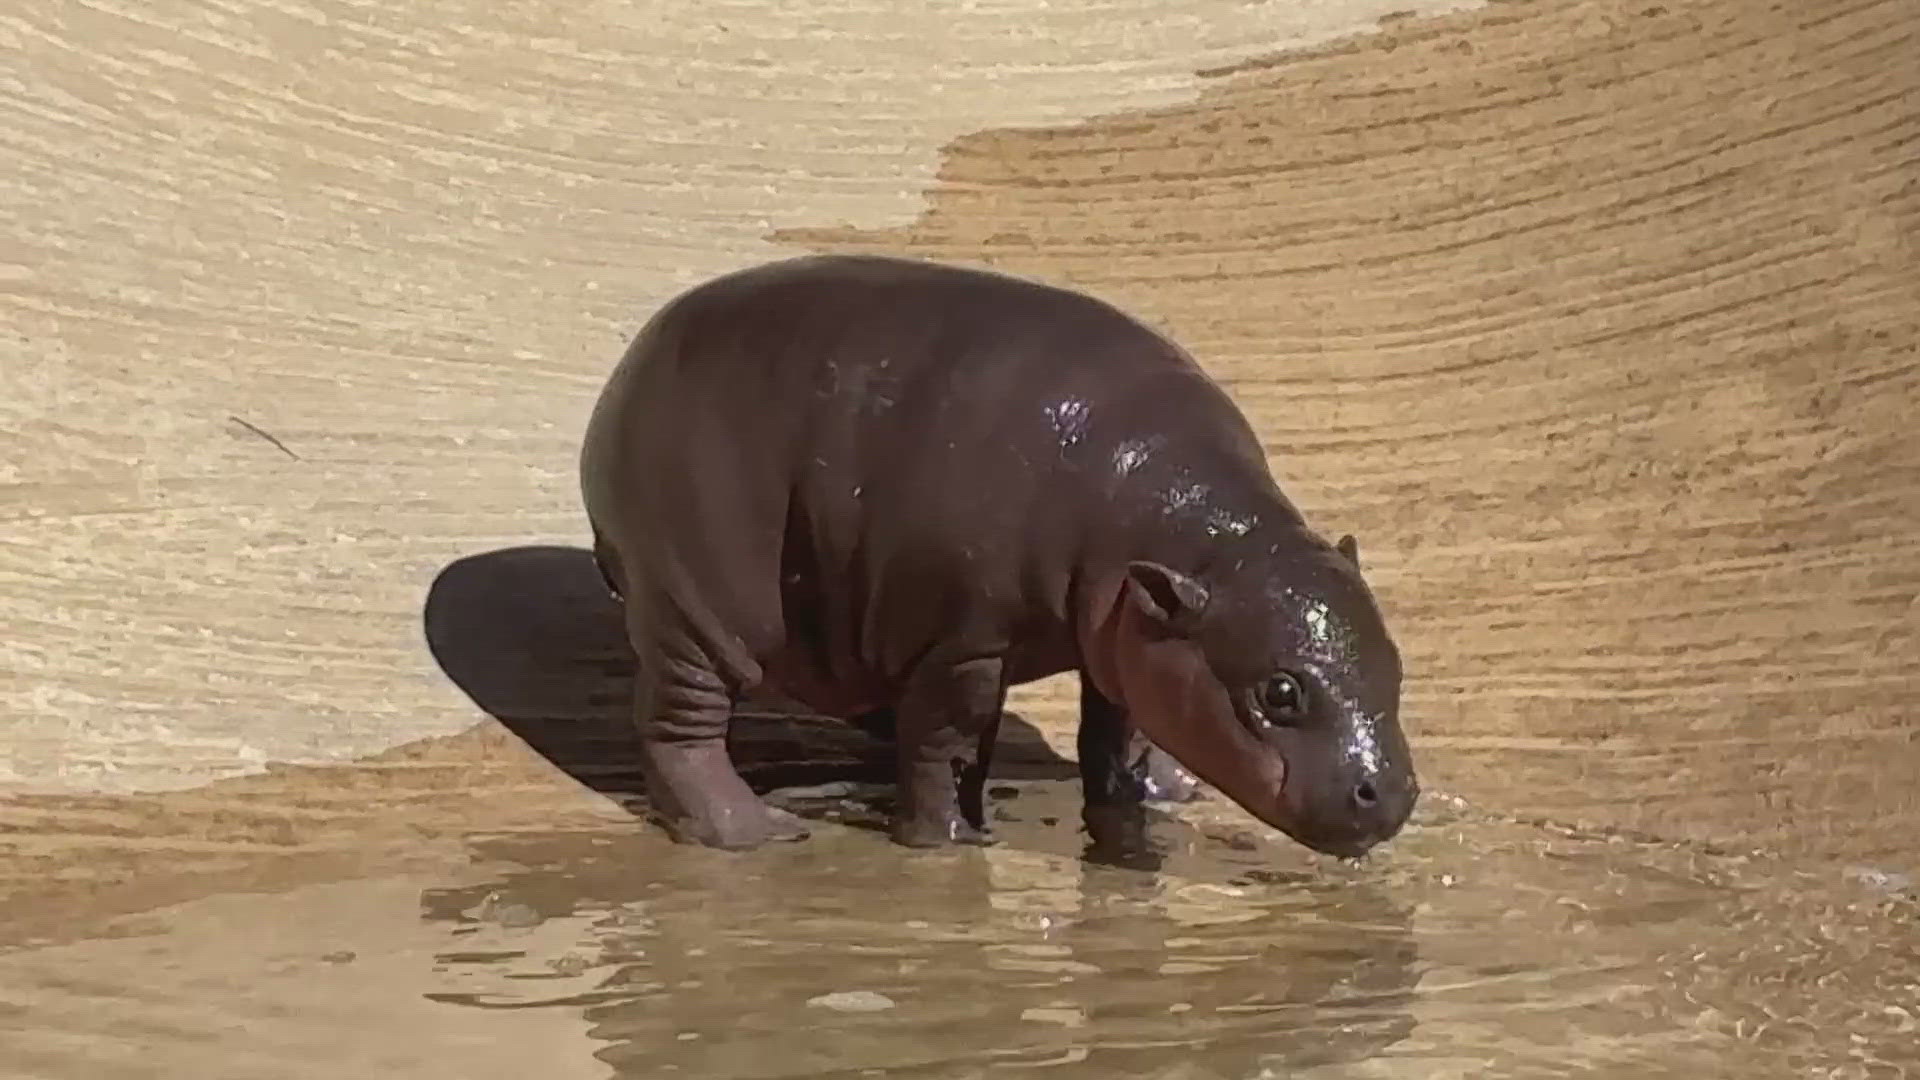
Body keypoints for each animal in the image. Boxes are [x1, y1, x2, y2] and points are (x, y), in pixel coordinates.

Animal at [579, 254, 1418, 856]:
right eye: (1280, 692)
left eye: (1397, 664)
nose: (1396, 796)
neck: (1210, 544)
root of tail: (625, 370)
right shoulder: (966, 641)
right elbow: (945, 739)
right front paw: (949, 842)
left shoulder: (1125, 632)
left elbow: (1116, 728)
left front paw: (1141, 800)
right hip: (692, 606)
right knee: (680, 729)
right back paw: (757, 834)